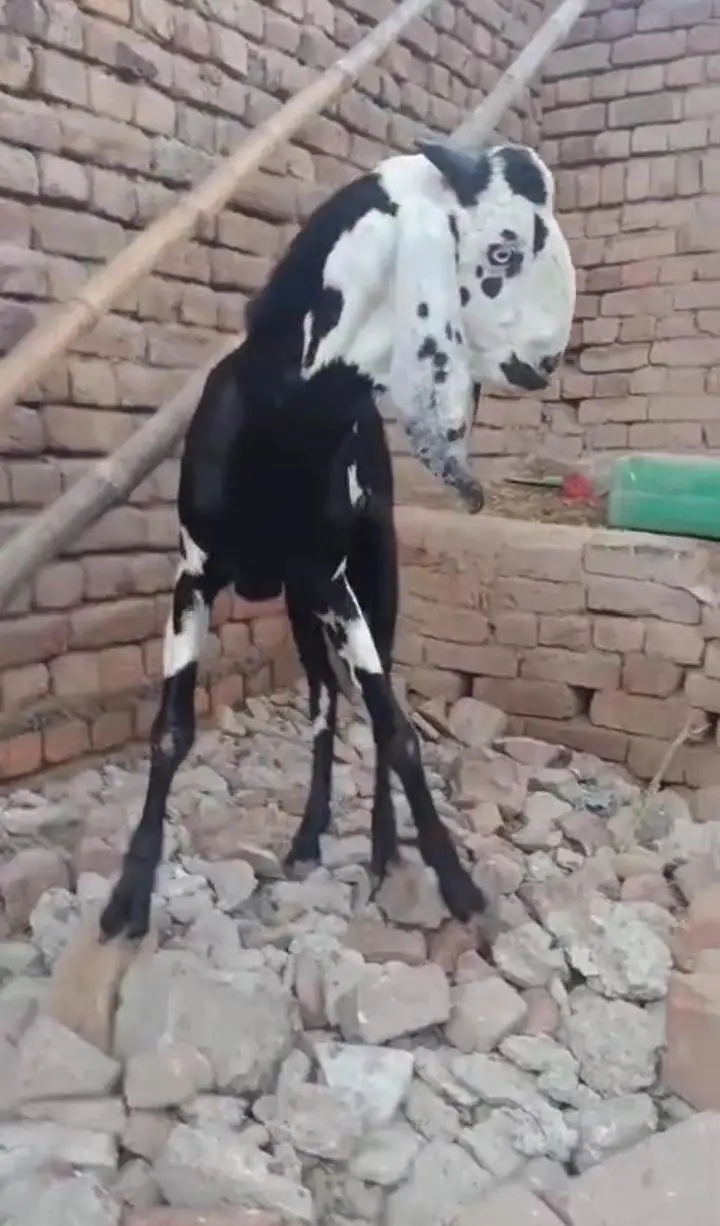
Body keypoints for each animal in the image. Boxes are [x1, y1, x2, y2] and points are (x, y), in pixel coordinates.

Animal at [99, 139, 576, 942]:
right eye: (503, 251)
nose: (544, 364)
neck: (279, 419)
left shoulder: (333, 578)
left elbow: (397, 728)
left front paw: (456, 883)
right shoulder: (194, 575)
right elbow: (170, 731)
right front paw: (128, 893)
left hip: (369, 577)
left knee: (359, 705)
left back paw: (381, 847)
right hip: (296, 604)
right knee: (323, 701)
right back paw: (306, 836)